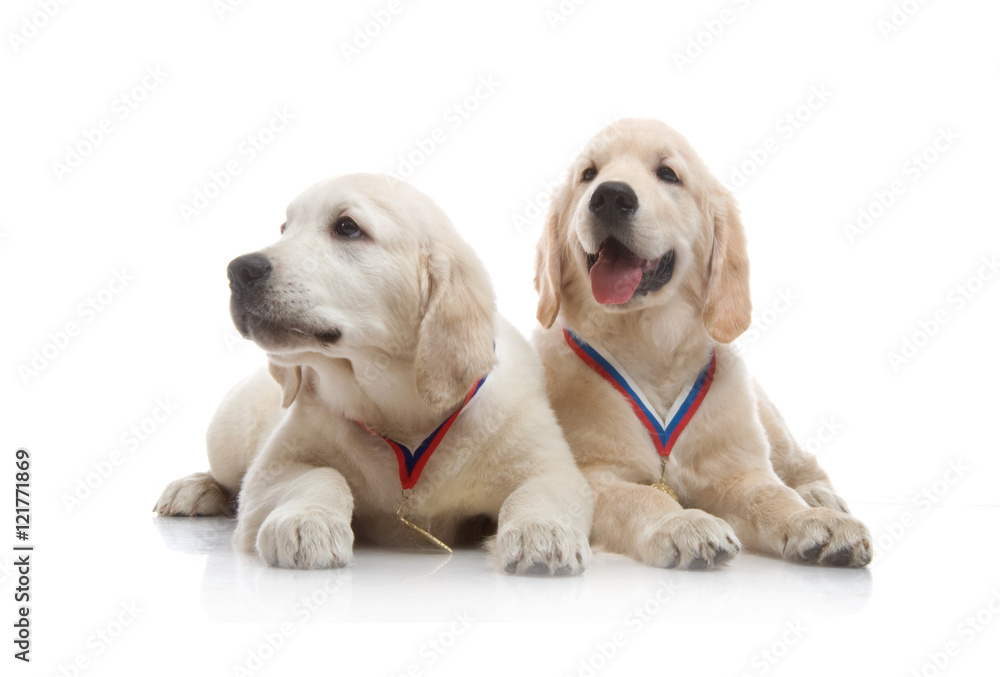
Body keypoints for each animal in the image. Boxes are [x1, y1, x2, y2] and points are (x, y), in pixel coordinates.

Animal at [157, 172, 592, 572]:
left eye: (347, 227)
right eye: (284, 228)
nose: (238, 270)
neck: (401, 413)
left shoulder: (554, 466)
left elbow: (539, 490)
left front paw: (543, 531)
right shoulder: (270, 471)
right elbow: (320, 475)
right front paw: (307, 522)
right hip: (227, 431)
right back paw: (194, 488)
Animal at [536, 119, 872, 568]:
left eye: (668, 173)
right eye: (588, 174)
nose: (609, 196)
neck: (652, 345)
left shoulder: (737, 470)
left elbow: (773, 495)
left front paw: (815, 520)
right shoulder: (592, 475)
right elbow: (644, 497)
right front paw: (683, 522)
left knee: (799, 465)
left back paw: (821, 496)